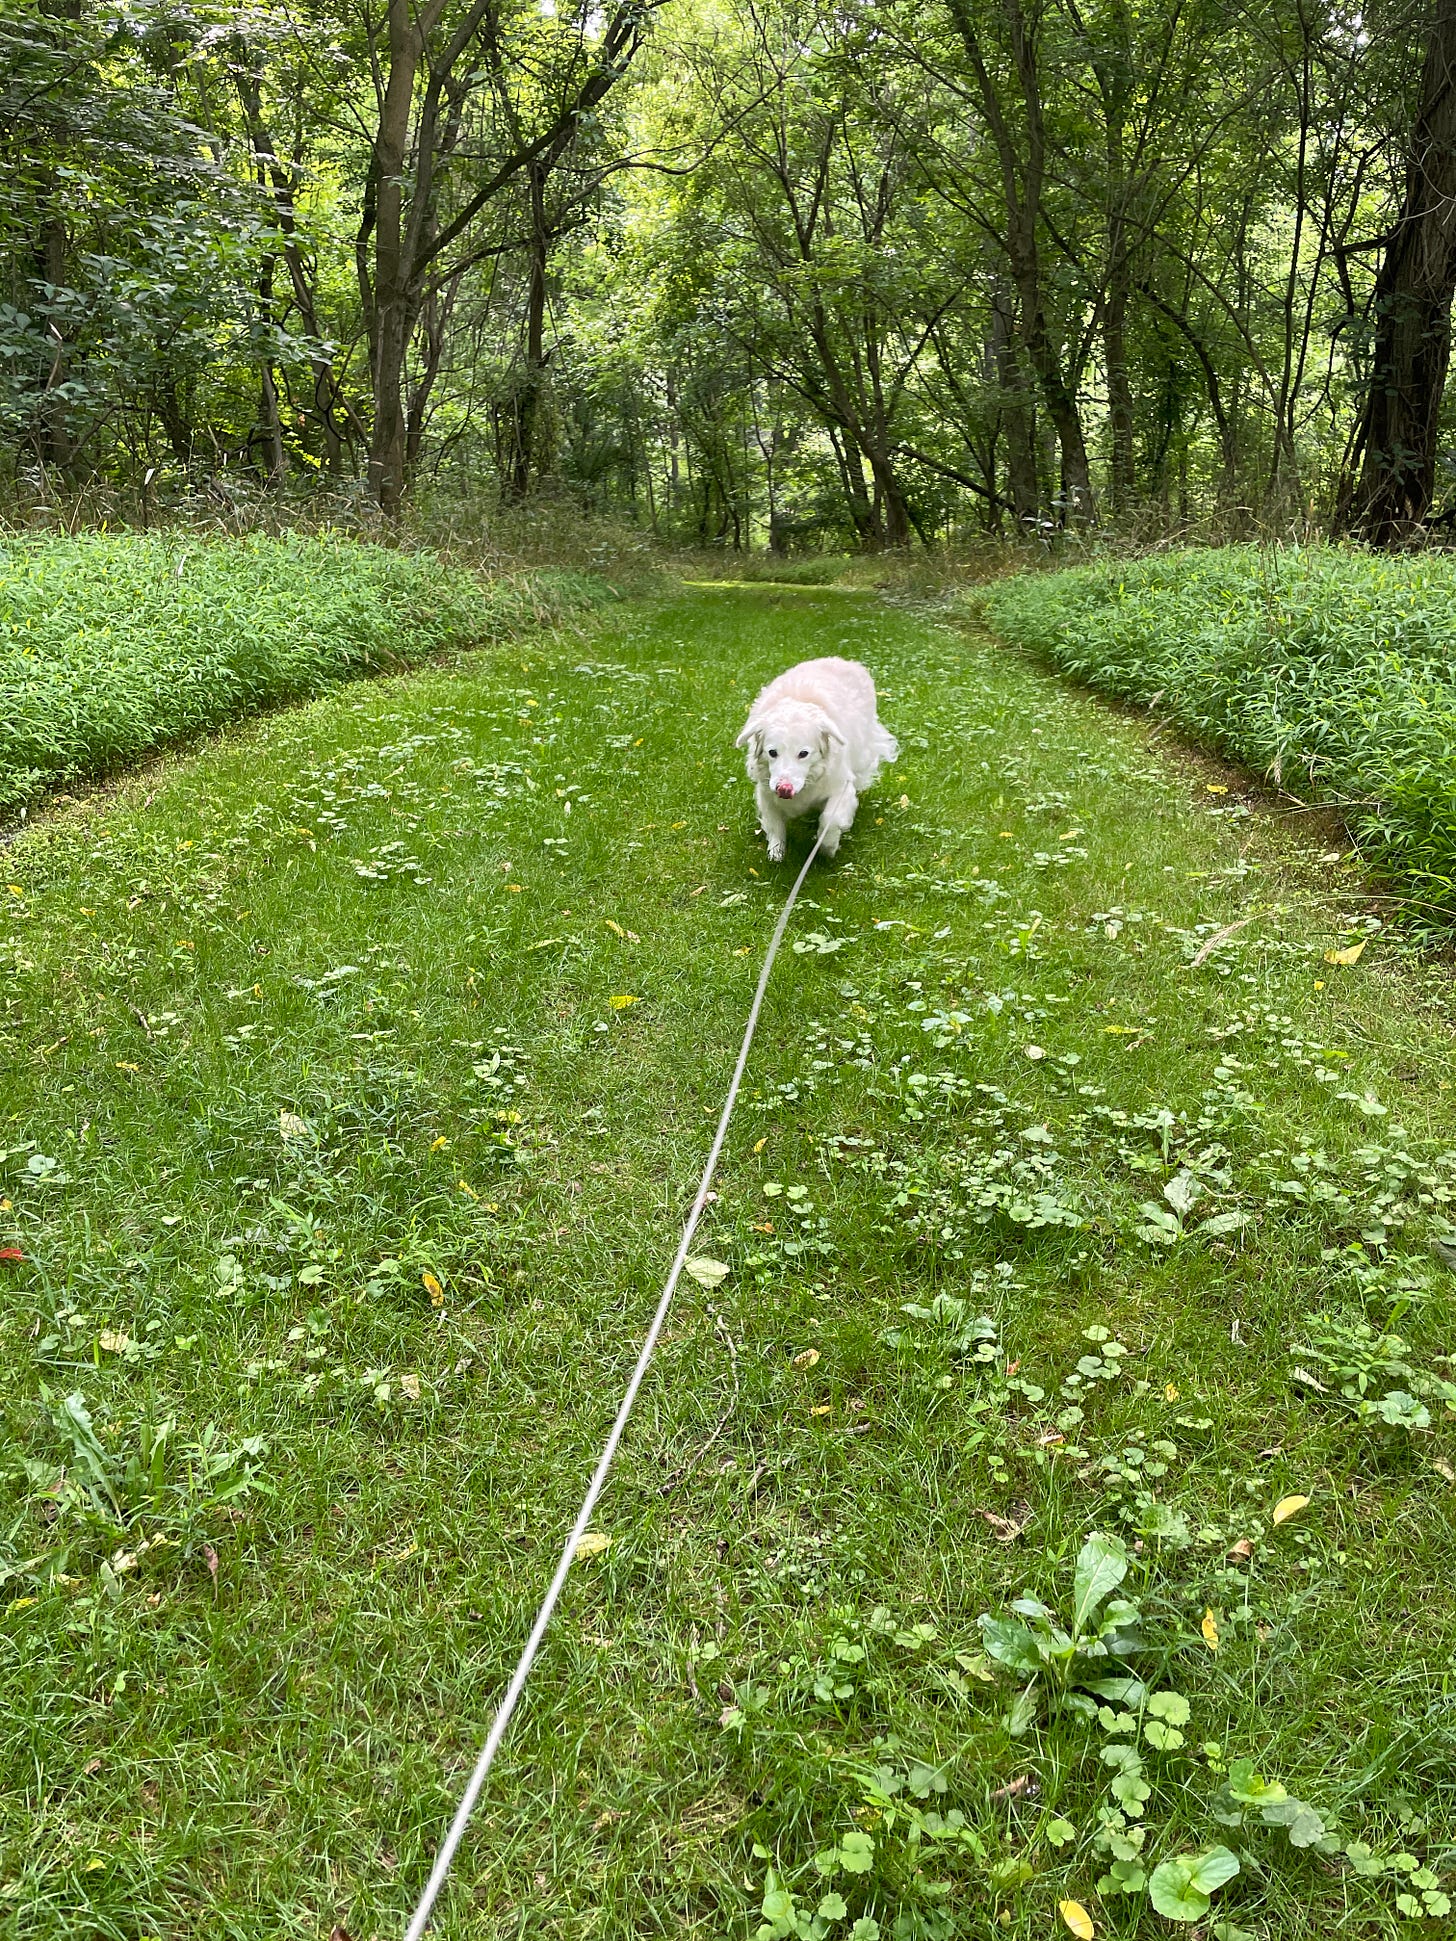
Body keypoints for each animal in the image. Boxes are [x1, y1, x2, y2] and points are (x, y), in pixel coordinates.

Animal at [733, 656, 896, 861]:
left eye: (803, 754)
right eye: (772, 752)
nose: (783, 788)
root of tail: (843, 660)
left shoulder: (841, 788)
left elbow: (830, 819)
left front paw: (828, 847)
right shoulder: (766, 790)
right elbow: (774, 822)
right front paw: (776, 850)